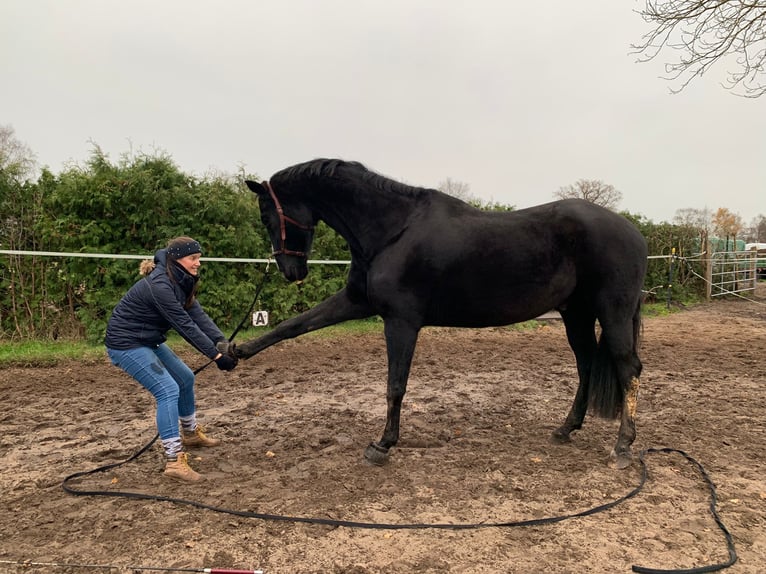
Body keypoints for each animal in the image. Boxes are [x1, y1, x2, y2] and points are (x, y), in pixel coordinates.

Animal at [237, 160, 652, 470]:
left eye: (266, 217)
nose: (291, 272)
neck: (393, 230)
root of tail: (633, 231)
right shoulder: (357, 301)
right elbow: (292, 326)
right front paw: (234, 352)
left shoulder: (401, 321)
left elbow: (395, 384)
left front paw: (383, 445)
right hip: (575, 314)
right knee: (586, 365)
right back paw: (565, 429)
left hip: (612, 312)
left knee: (627, 367)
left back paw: (622, 447)